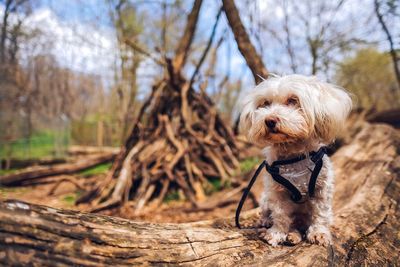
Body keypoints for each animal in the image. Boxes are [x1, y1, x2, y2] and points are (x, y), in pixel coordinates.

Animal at [239, 75, 352, 247]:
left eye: (293, 100)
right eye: (265, 103)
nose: (269, 120)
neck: (293, 156)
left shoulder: (321, 190)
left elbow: (320, 214)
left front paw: (319, 233)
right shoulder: (277, 192)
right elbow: (280, 215)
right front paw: (276, 233)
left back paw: (294, 235)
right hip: (265, 199)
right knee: (269, 213)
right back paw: (270, 224)